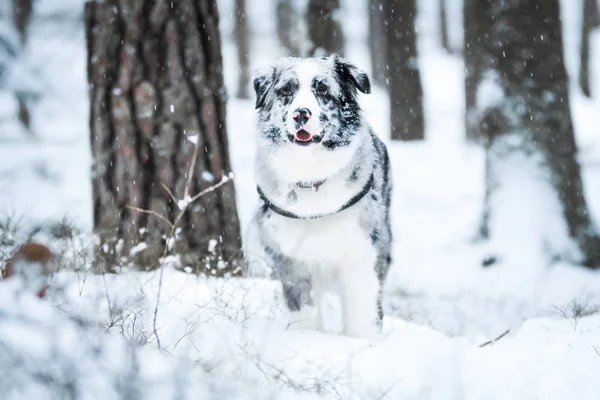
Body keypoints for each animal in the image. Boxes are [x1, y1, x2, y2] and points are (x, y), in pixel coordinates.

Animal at [247, 54, 392, 338]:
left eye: (322, 89)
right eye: (286, 91)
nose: (300, 113)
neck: (310, 177)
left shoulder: (364, 251)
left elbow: (362, 311)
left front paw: (364, 340)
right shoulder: (290, 257)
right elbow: (303, 308)